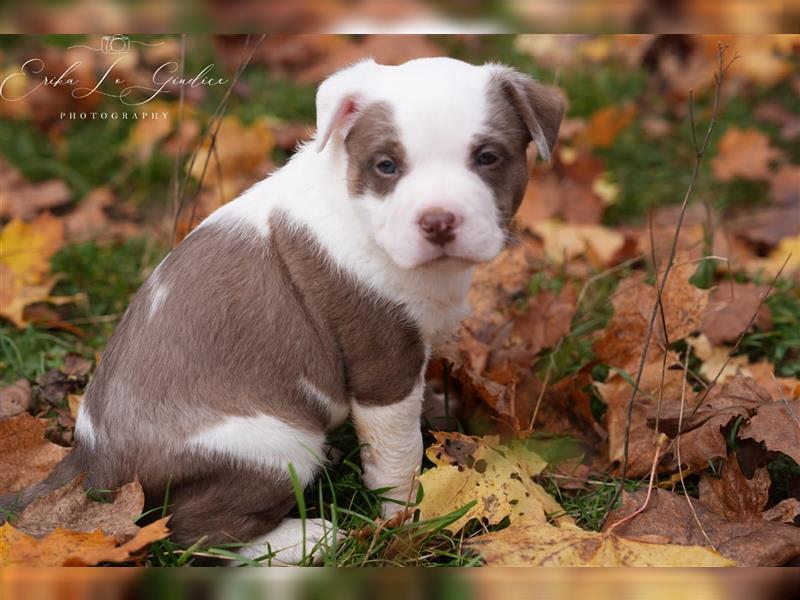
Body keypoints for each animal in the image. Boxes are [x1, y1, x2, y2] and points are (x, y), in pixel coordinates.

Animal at [0, 56, 564, 564]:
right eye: (386, 166)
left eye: (487, 157)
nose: (439, 221)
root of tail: (92, 462)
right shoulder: (382, 362)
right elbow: (397, 452)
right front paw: (407, 517)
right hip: (273, 447)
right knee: (194, 533)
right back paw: (310, 539)